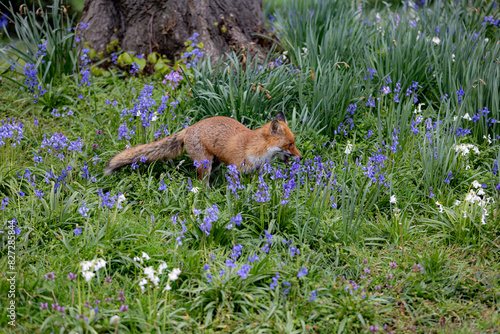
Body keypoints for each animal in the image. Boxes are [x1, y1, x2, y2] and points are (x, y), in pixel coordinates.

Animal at [102, 111, 300, 181]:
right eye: (290, 144)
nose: (301, 157)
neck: (254, 148)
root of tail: (189, 128)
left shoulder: (254, 172)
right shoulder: (236, 170)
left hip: (215, 163)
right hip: (205, 164)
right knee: (202, 182)